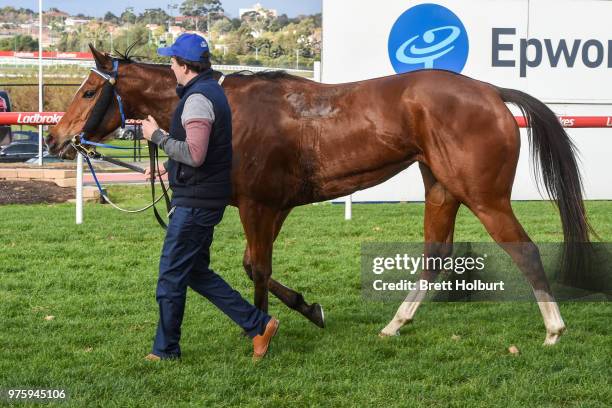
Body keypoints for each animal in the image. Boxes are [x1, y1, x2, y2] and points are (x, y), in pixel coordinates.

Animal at [45, 44, 592, 344]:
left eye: (88, 92)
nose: (54, 139)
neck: (227, 110)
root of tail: (490, 90)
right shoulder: (275, 207)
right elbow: (255, 267)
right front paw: (305, 309)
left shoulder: (258, 205)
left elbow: (256, 269)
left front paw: (263, 328)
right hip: (442, 189)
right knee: (435, 256)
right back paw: (395, 325)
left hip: (484, 195)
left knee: (524, 249)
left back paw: (554, 329)